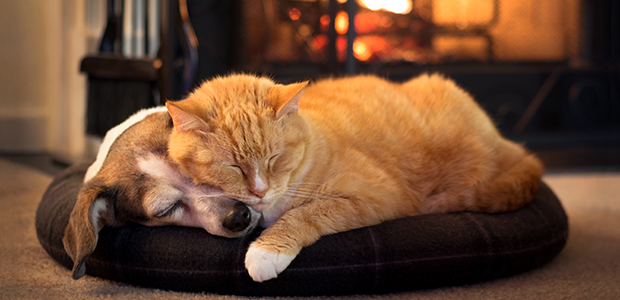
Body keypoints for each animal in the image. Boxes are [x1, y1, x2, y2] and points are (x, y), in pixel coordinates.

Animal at [165, 72, 544, 282]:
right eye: (233, 166)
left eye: (275, 157)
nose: (259, 191)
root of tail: (503, 140)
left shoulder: (376, 195)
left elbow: (306, 213)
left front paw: (266, 251)